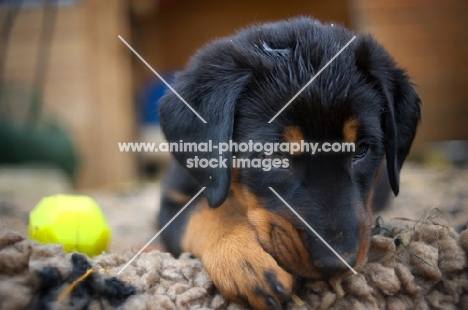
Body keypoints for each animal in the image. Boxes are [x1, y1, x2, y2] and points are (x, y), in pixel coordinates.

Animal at [157, 17, 420, 310]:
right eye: (274, 155)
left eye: (361, 150)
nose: (338, 262)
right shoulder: (172, 200)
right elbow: (206, 212)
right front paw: (245, 260)